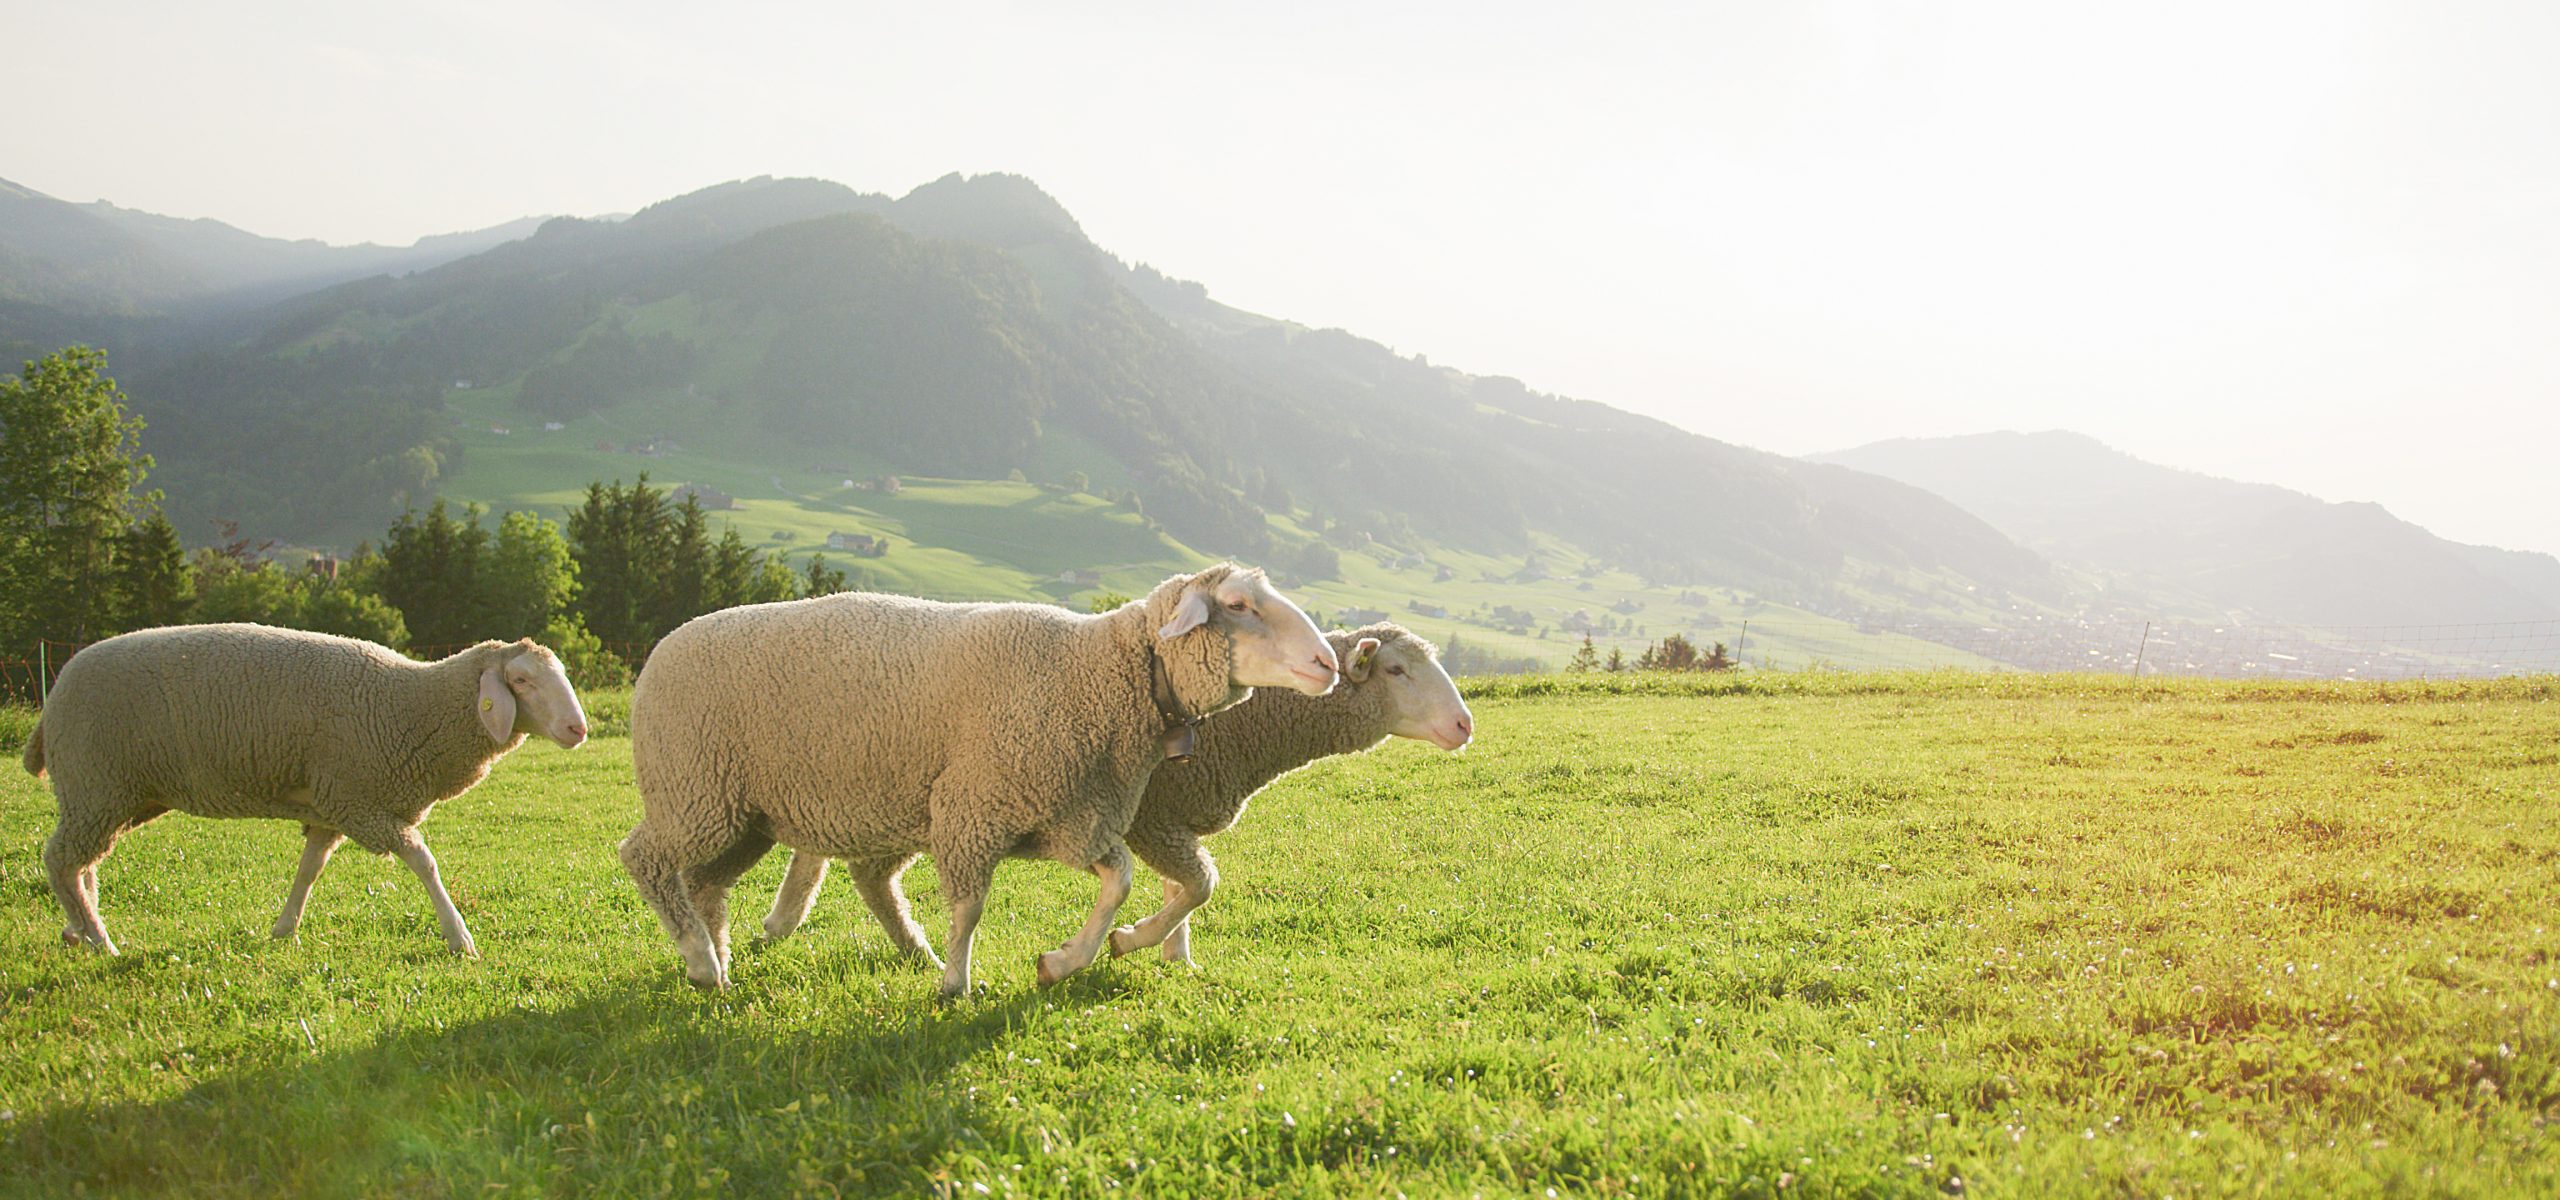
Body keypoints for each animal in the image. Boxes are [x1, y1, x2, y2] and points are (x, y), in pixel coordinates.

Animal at [20, 626, 588, 951]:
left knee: (82, 862)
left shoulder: (331, 807)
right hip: (97, 782)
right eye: (521, 680)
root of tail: (54, 693)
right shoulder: (360, 803)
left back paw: (79, 927)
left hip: (113, 794)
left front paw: (284, 928)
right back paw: (99, 940)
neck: (411, 704)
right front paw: (459, 937)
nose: (578, 729)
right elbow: (424, 861)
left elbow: (309, 868)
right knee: (61, 859)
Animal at [619, 560, 1341, 992]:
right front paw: (959, 986)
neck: (1101, 672)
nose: (1328, 663)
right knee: (644, 859)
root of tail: (658, 652)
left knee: (709, 883)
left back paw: (721, 962)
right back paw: (699, 960)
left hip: (748, 814)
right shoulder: (977, 806)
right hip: (696, 792)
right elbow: (970, 907)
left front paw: (1067, 960)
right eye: (1239, 603)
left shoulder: (1070, 815)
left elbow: (1121, 883)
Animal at [757, 616, 1474, 962]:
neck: (1249, 723)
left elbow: (1188, 889)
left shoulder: (1167, 816)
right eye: (1398, 671)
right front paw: (1131, 942)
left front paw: (1175, 957)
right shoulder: (1151, 817)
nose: (1465, 724)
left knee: (845, 856)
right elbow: (1199, 885)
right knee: (854, 859)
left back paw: (796, 921)